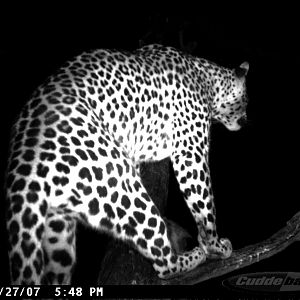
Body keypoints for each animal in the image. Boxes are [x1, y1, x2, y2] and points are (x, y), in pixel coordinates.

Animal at [4, 44, 250, 284]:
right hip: (120, 185)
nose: (246, 120)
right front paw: (215, 246)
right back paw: (192, 256)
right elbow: (204, 204)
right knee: (164, 263)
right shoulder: (190, 151)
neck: (206, 79)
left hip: (58, 226)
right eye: (246, 101)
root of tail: (25, 156)